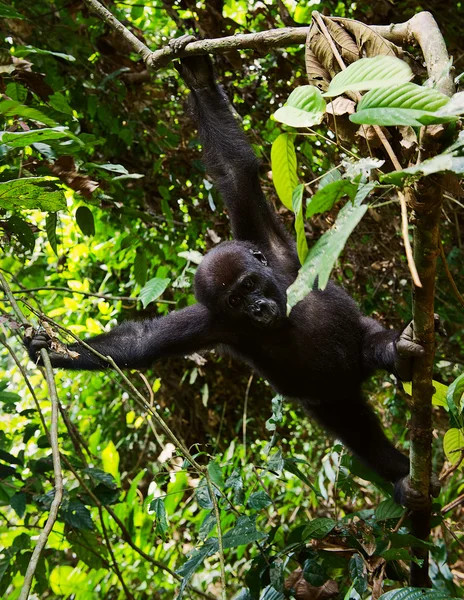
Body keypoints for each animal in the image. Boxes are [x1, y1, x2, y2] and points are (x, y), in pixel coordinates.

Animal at [26, 54, 438, 508]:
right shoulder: (213, 322)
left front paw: (200, 83)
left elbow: (234, 172)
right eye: (237, 303)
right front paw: (51, 350)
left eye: (249, 286)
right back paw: (401, 476)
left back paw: (398, 355)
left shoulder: (270, 249)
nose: (257, 309)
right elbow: (141, 343)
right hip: (332, 400)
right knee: (358, 433)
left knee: (372, 345)